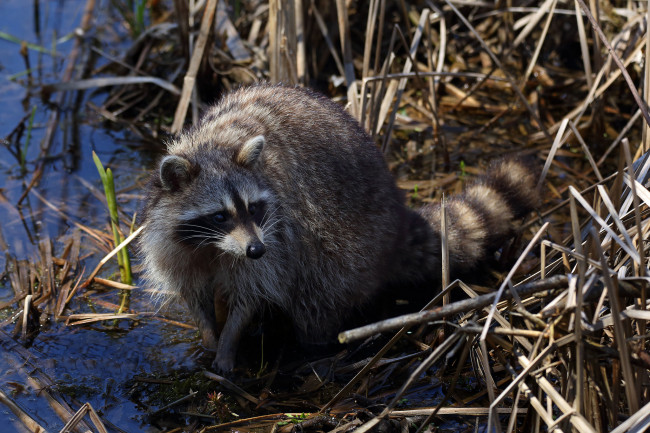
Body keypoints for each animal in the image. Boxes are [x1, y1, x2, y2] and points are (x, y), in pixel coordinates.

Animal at [139, 83, 540, 372]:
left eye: (253, 208)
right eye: (220, 216)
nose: (255, 249)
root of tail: (396, 215)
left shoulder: (277, 236)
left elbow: (253, 294)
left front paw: (229, 343)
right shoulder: (177, 243)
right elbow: (193, 291)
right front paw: (209, 335)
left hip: (348, 248)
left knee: (317, 296)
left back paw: (310, 352)